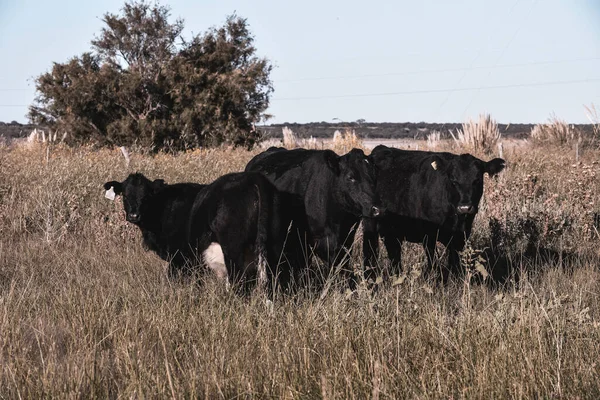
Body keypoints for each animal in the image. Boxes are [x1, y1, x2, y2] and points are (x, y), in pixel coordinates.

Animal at [364, 145, 504, 282]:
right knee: (371, 249)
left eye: (477, 180)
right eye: (453, 181)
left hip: (392, 230)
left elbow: (454, 262)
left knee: (394, 253)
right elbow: (433, 262)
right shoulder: (429, 236)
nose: (465, 207)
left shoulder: (461, 236)